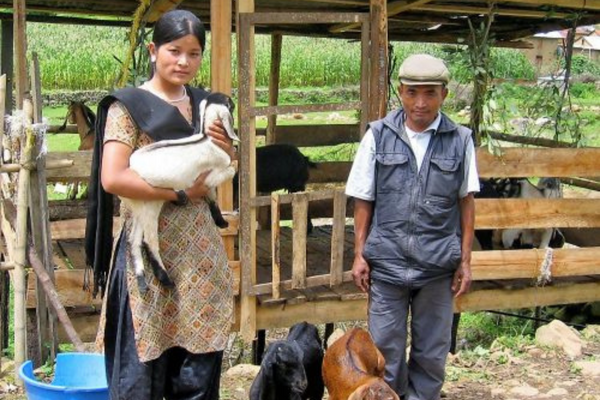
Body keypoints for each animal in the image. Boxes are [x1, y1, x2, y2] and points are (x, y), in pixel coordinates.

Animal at [122, 92, 239, 292]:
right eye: (230, 104)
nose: (234, 102)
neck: (208, 140)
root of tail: (132, 167)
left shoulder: (207, 181)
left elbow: (212, 197)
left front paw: (221, 222)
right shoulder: (211, 175)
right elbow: (231, 169)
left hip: (140, 207)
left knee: (133, 240)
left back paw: (142, 281)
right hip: (151, 204)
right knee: (149, 241)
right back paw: (165, 279)